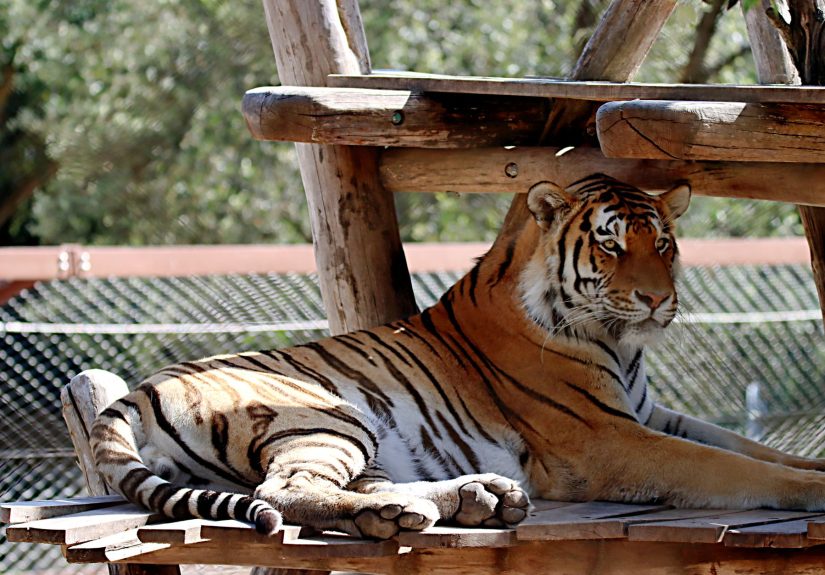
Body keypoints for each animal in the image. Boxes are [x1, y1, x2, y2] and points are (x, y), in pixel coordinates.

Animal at [90, 174, 825, 540]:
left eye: (664, 243)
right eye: (612, 244)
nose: (656, 299)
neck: (620, 346)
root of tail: (141, 387)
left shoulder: (650, 416)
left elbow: (754, 448)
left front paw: (813, 467)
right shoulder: (606, 439)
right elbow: (734, 467)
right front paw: (815, 490)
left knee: (356, 483)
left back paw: (470, 499)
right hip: (326, 413)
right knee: (288, 490)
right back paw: (409, 514)